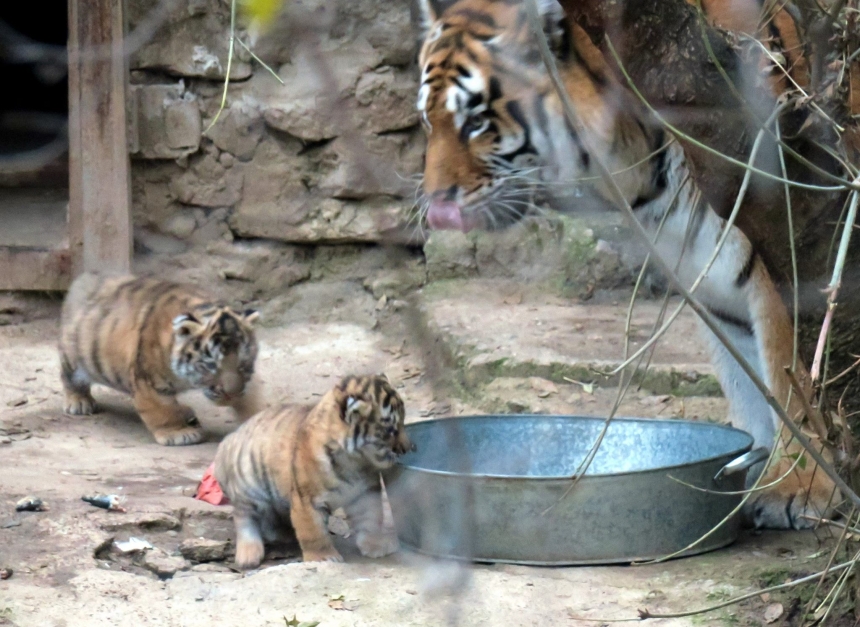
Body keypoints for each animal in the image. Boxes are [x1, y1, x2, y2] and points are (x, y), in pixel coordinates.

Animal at [414, 0, 840, 528]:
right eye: (428, 121)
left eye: (475, 121)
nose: (435, 204)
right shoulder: (710, 280)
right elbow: (748, 379)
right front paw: (755, 475)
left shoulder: (783, 247)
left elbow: (791, 376)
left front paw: (801, 486)